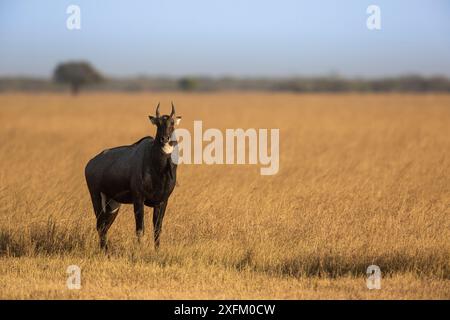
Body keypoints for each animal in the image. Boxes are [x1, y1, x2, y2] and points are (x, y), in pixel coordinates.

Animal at [85, 102, 180, 250]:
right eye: (158, 123)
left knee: (105, 227)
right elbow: (140, 229)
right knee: (100, 226)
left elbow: (157, 229)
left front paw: (157, 250)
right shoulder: (138, 199)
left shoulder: (162, 201)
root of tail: (90, 163)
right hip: (96, 198)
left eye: (172, 123)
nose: (165, 139)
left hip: (113, 205)